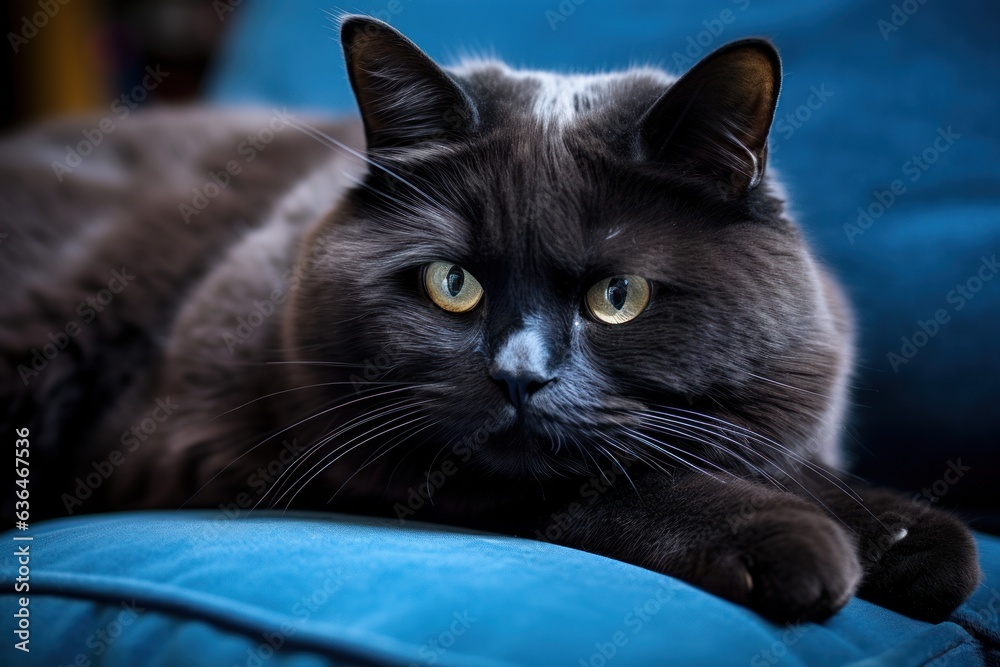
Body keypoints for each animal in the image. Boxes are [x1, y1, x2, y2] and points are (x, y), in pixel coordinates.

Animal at [0, 17, 980, 628]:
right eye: (452, 283)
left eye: (619, 295)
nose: (519, 374)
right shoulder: (275, 453)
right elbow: (598, 487)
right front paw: (794, 537)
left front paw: (905, 533)